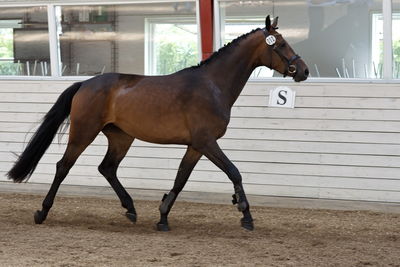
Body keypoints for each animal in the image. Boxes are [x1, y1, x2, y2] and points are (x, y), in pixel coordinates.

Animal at [6, 15, 308, 231]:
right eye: (281, 44)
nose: (303, 71)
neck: (213, 85)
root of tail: (85, 84)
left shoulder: (196, 146)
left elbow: (180, 179)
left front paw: (163, 218)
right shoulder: (207, 142)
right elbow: (234, 172)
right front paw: (246, 215)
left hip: (121, 137)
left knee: (107, 168)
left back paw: (130, 208)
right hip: (84, 133)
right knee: (63, 167)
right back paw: (42, 211)